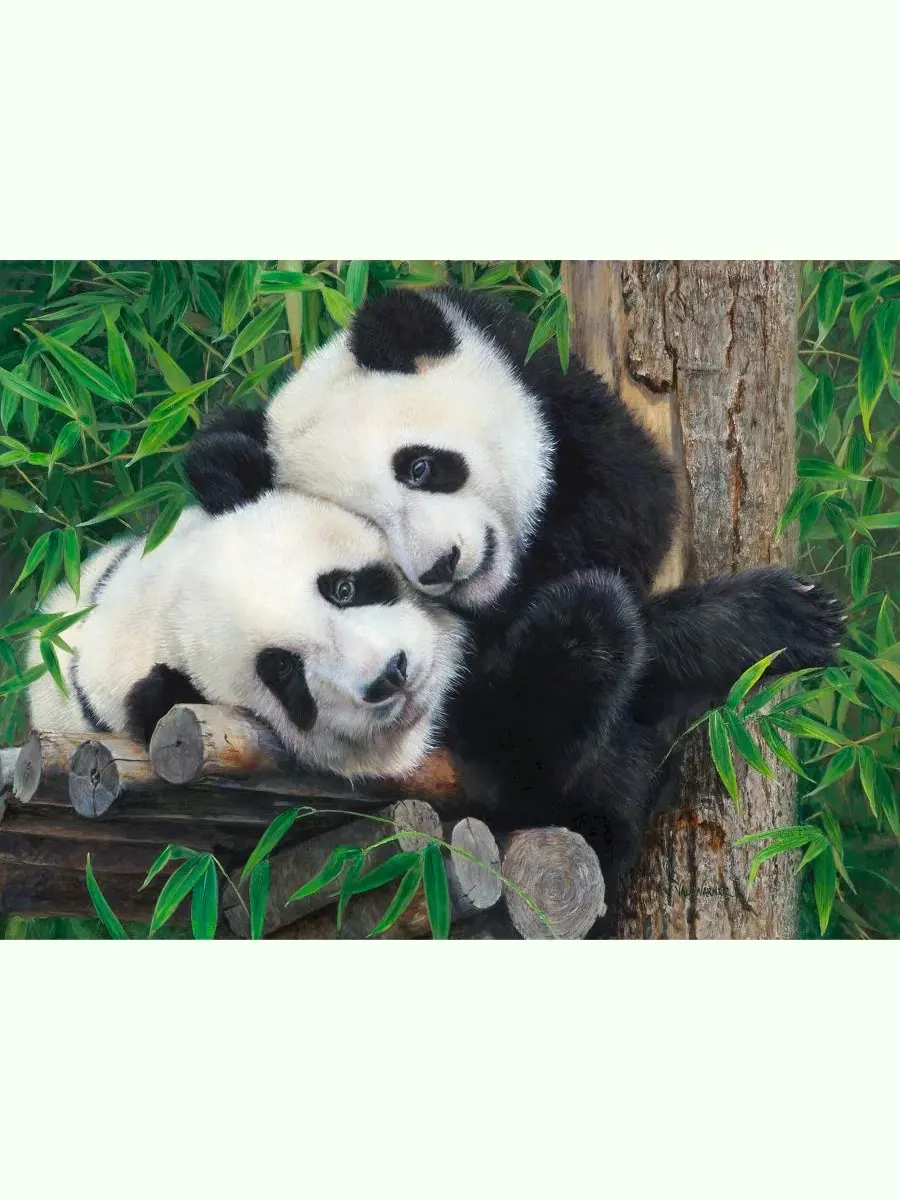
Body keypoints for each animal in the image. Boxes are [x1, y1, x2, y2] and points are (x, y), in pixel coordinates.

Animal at [183, 286, 845, 926]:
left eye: (420, 466)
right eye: (370, 526)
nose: (442, 566)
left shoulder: (559, 402)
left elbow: (631, 502)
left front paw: (788, 617)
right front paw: (758, 621)